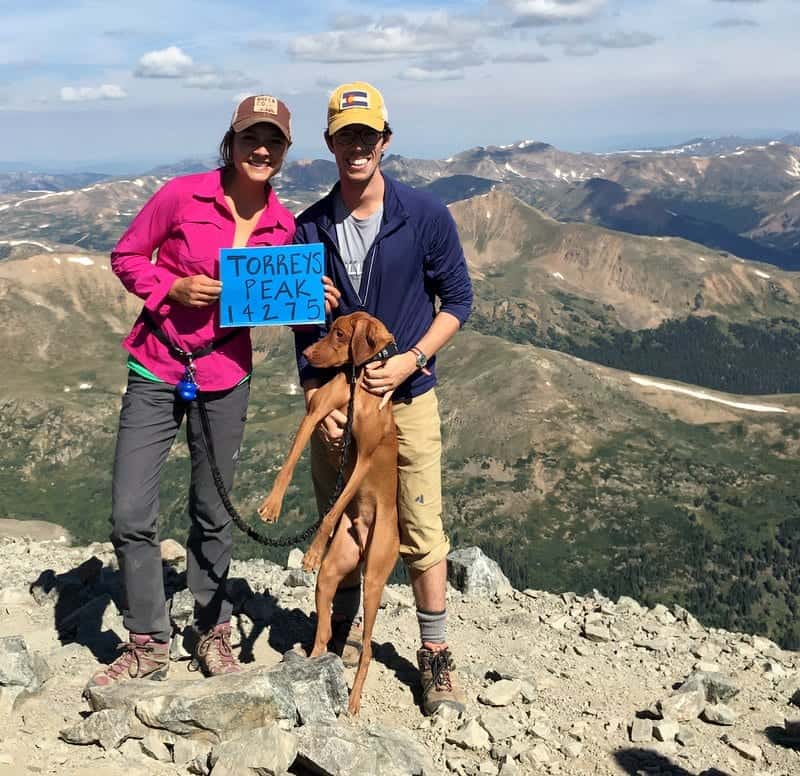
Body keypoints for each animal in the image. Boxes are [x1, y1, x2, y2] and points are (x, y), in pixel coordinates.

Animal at [258, 310, 400, 716]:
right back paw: (312, 667)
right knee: (322, 633)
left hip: (376, 577)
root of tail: (365, 535)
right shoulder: (318, 415)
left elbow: (335, 508)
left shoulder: (363, 459)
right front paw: (272, 505)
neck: (358, 384)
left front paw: (312, 550)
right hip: (332, 575)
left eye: (339, 333)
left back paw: (352, 700)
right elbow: (289, 464)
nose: (306, 352)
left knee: (366, 651)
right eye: (330, 327)